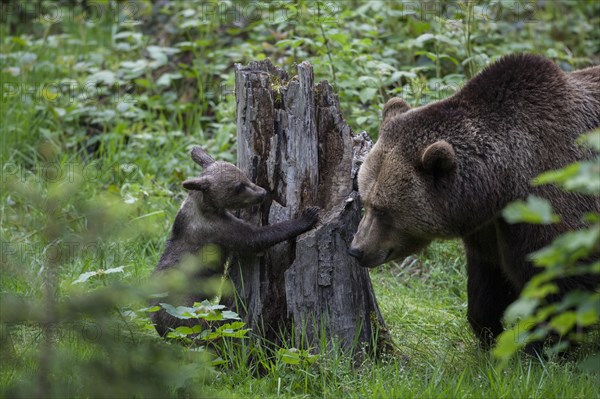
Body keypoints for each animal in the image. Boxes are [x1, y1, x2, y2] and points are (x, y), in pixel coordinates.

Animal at [350, 54, 596, 350]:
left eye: (384, 210)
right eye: (365, 200)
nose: (357, 249)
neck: (501, 185)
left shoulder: (549, 204)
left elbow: (557, 284)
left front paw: (540, 344)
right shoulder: (491, 227)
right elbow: (489, 280)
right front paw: (489, 331)